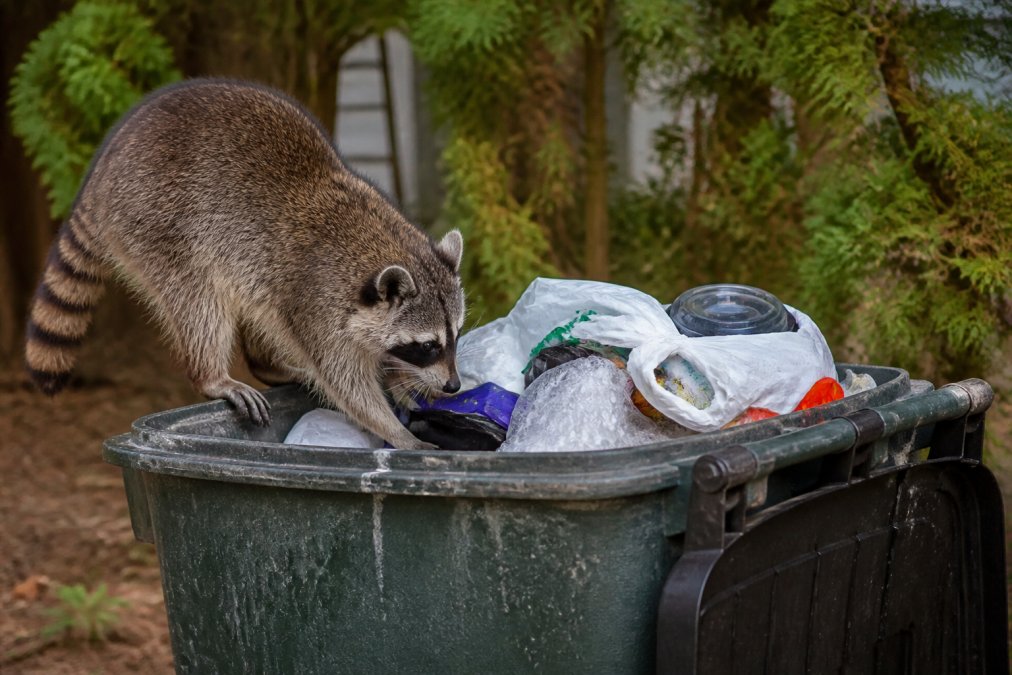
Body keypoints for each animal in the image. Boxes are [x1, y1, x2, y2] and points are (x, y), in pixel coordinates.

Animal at [24, 79, 465, 450]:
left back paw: (269, 364)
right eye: (427, 345)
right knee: (199, 300)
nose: (454, 386)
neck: (376, 242)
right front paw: (399, 432)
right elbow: (346, 382)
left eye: (456, 336)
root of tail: (101, 173)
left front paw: (401, 377)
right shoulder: (316, 298)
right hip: (156, 223)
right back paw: (212, 375)